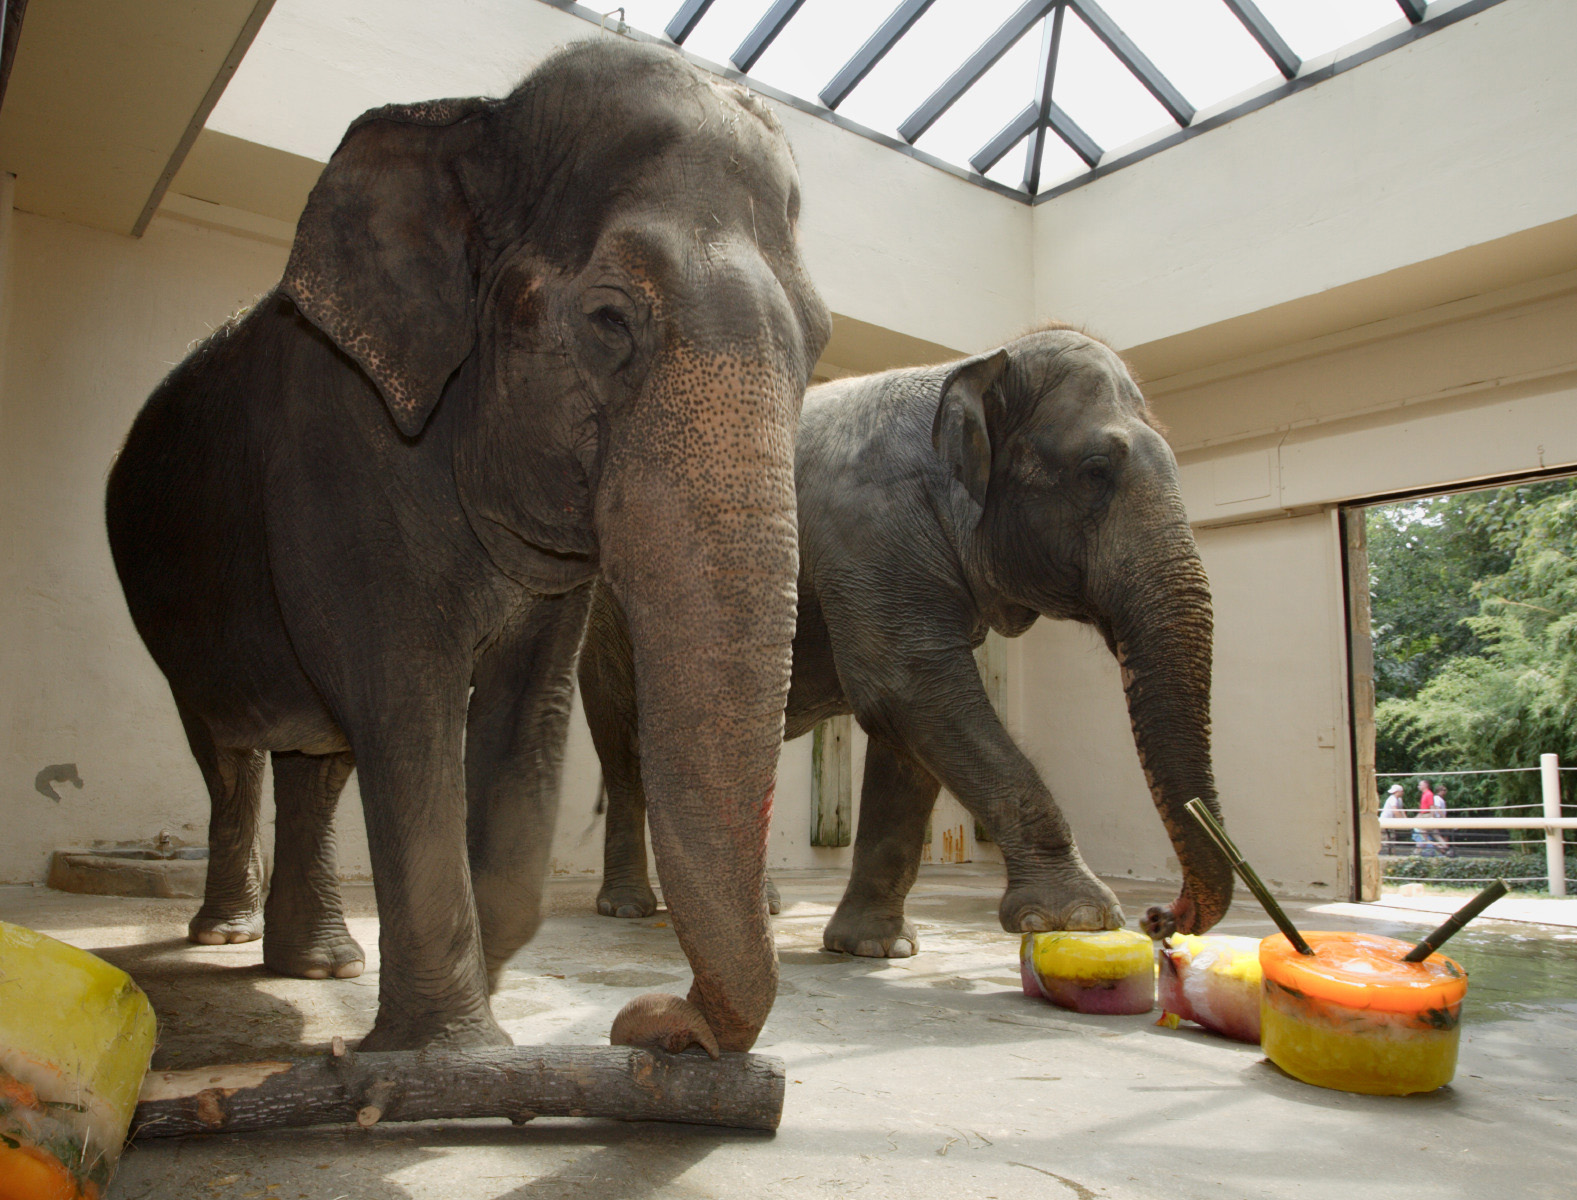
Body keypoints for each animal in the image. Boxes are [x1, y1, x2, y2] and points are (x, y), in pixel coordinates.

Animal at [104, 37, 832, 1053]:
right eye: (609, 321)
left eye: (822, 343)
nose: (652, 1021)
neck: (473, 120)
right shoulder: (335, 444)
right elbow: (406, 698)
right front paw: (448, 1051)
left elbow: (528, 718)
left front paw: (483, 1014)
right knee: (229, 745)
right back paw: (227, 937)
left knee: (317, 762)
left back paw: (321, 967)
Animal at [580, 324, 1230, 952]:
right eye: (1096, 471)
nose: (1161, 917)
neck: (969, 369)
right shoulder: (870, 530)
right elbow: (909, 687)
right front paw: (1078, 917)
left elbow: (907, 730)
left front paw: (872, 946)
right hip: (611, 619)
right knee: (625, 749)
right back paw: (628, 907)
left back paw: (757, 906)